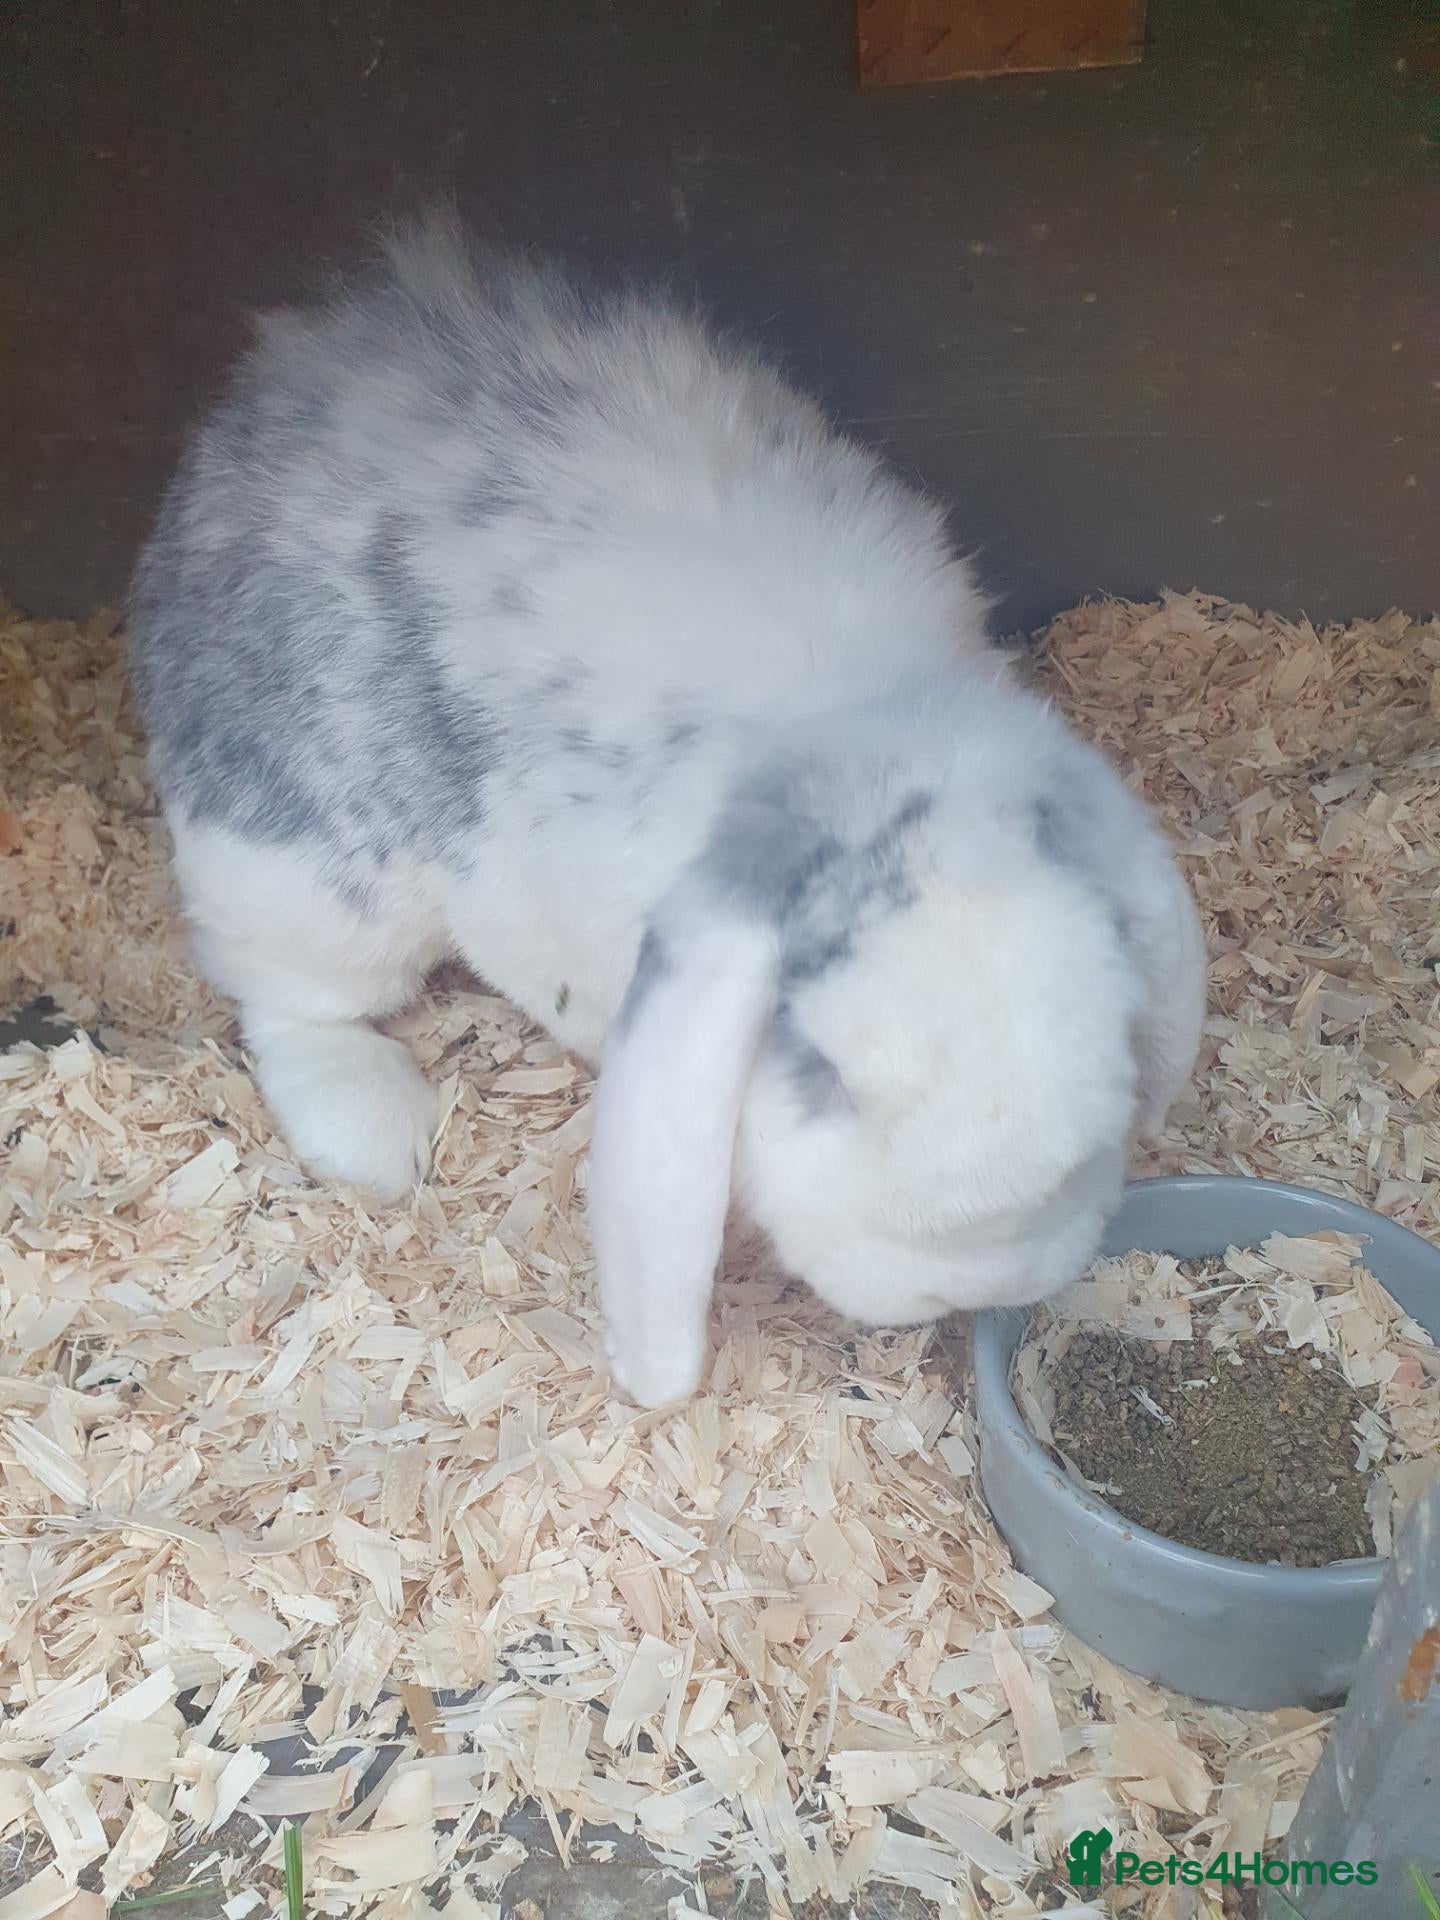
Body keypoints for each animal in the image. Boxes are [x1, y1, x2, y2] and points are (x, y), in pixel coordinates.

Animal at [128, 217, 1206, 1408]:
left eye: (1116, 1022)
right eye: (822, 1069)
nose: (982, 1275)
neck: (847, 729)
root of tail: (281, 381)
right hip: (303, 874)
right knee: (288, 997)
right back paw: (376, 1128)